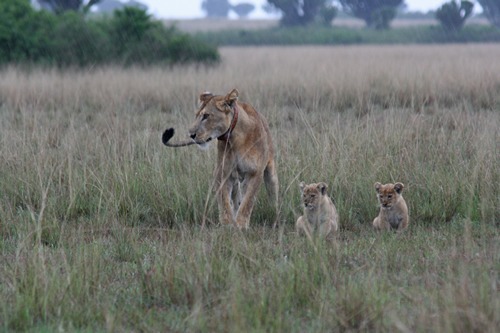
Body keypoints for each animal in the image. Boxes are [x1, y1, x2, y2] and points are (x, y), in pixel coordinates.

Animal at [163, 88, 278, 228]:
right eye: (197, 115)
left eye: (206, 116)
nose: (191, 135)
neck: (235, 139)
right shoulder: (222, 173)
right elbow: (224, 201)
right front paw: (228, 224)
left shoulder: (255, 173)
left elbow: (248, 202)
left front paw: (241, 224)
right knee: (236, 198)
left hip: (270, 173)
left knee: (272, 193)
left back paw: (275, 214)